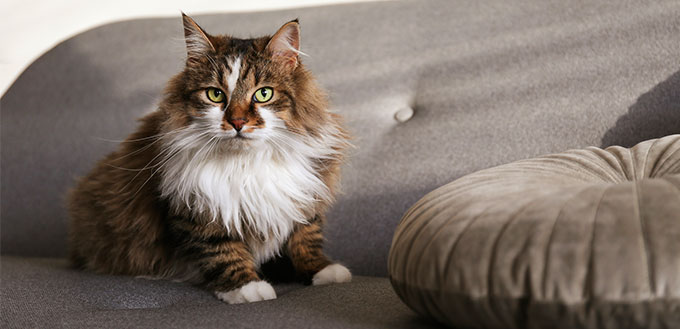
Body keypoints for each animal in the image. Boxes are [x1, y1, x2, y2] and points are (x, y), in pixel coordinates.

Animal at [67, 14, 354, 302]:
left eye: (263, 94)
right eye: (215, 95)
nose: (237, 122)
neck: (246, 163)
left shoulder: (307, 195)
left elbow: (305, 237)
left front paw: (323, 270)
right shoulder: (197, 209)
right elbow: (223, 251)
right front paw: (247, 287)